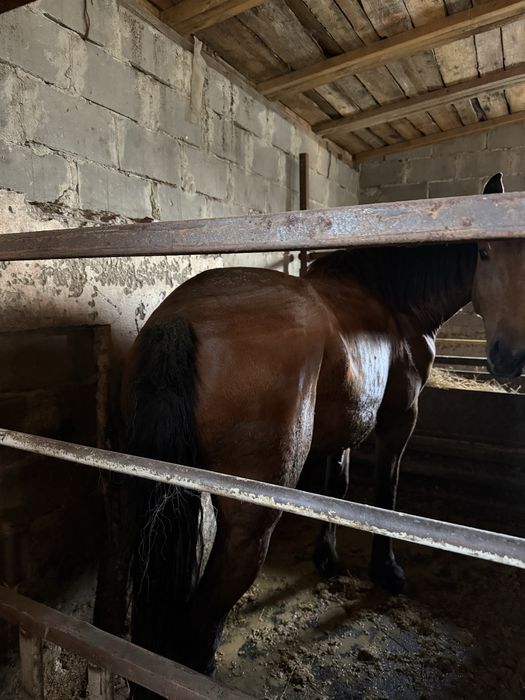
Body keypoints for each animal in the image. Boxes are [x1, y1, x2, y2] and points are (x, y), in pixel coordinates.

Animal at [93, 173, 525, 699]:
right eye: (484, 250)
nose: (510, 358)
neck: (394, 303)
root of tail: (180, 319)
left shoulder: (345, 426)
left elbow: (335, 490)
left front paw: (326, 558)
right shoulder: (399, 417)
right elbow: (385, 494)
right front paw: (387, 570)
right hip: (250, 523)